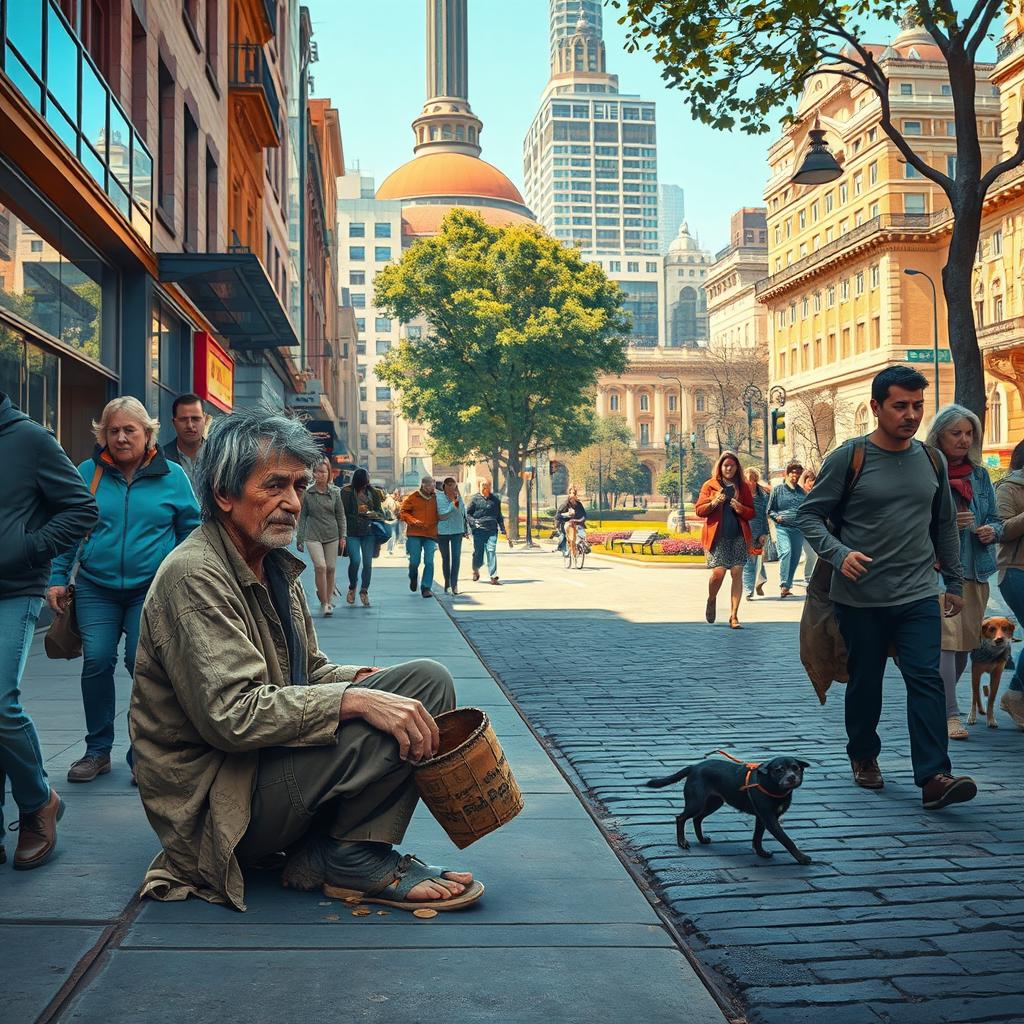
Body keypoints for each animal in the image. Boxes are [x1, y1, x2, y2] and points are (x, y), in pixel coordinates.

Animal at [643, 753, 811, 864]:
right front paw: (802, 858)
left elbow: (757, 838)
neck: (771, 785)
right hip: (696, 802)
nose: (791, 777)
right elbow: (786, 839)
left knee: (697, 819)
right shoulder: (769, 819)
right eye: (779, 770)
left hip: (713, 803)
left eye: (795, 768)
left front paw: (761, 853)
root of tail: (694, 767)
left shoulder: (762, 818)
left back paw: (702, 839)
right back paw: (682, 842)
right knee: (681, 818)